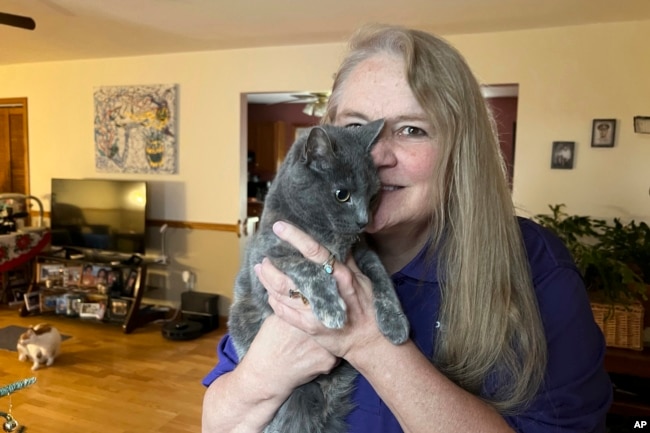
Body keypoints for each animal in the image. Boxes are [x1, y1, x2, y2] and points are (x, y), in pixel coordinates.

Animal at [228, 120, 408, 432]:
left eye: (373, 195)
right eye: (342, 194)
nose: (364, 221)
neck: (329, 236)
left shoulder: (364, 252)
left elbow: (382, 281)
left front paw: (395, 325)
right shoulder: (266, 259)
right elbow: (307, 266)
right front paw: (332, 310)